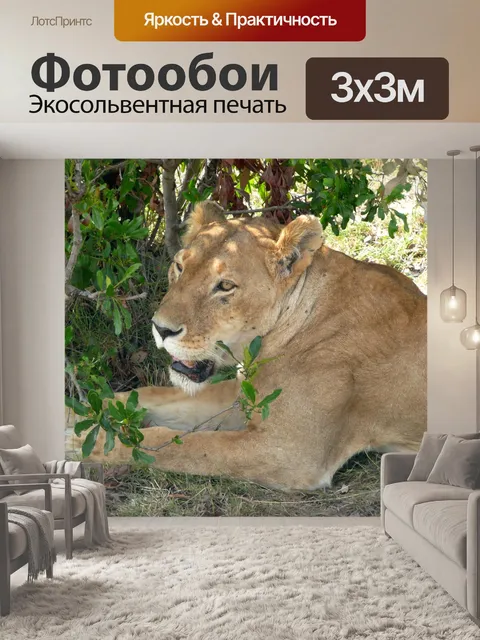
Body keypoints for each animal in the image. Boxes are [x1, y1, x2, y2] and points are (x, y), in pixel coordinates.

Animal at [83, 201, 427, 491]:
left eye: (225, 286)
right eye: (180, 267)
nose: (161, 328)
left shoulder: (288, 453)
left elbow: (180, 446)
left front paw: (89, 441)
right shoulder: (245, 397)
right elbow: (150, 395)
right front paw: (81, 415)